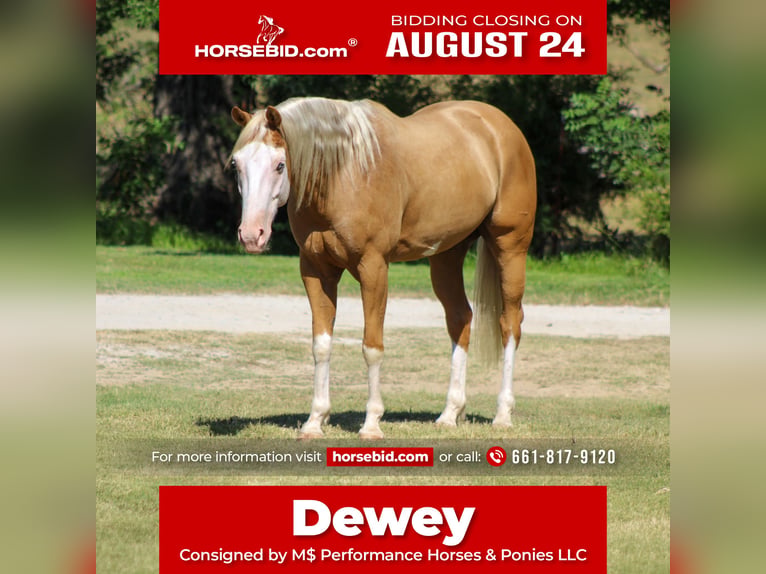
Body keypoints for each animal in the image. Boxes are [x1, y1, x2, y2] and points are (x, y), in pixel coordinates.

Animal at [229, 97, 536, 439]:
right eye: (236, 165)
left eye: (280, 165)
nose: (251, 235)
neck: (344, 174)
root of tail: (500, 125)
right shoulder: (315, 269)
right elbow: (321, 345)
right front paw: (315, 420)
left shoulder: (373, 267)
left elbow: (372, 346)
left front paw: (372, 423)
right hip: (446, 255)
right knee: (461, 319)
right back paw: (449, 413)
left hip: (510, 248)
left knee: (510, 323)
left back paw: (503, 414)